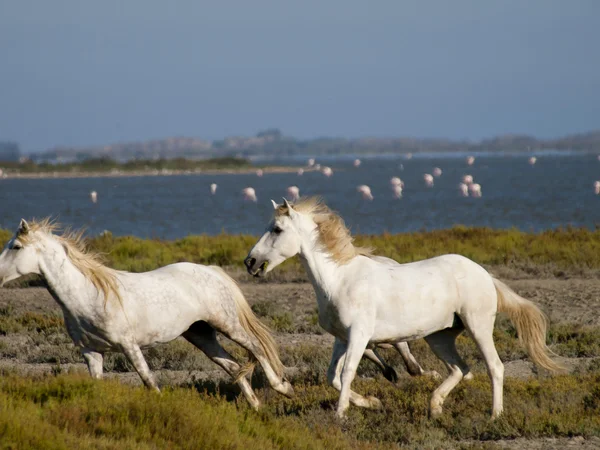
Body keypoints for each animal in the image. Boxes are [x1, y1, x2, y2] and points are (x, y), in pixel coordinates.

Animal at [0, 218, 292, 408]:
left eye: (16, 247)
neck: (88, 296)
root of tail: (211, 270)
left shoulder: (129, 346)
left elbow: (148, 380)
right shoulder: (91, 352)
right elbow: (97, 385)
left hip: (227, 324)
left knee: (257, 348)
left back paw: (284, 388)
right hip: (200, 334)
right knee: (232, 366)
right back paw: (256, 407)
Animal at [245, 197, 564, 418]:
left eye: (277, 229)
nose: (250, 262)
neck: (339, 279)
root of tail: (484, 274)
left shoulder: (359, 335)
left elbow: (347, 373)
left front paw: (341, 414)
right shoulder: (342, 339)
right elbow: (332, 376)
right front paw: (371, 403)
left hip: (478, 326)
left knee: (494, 367)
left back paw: (494, 415)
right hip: (439, 336)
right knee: (460, 369)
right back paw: (435, 408)